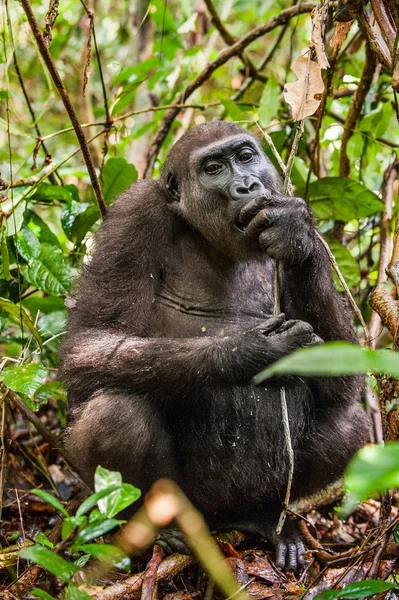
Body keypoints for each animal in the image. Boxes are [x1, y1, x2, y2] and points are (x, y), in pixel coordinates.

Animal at [61, 120, 370, 572]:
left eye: (244, 156)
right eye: (212, 168)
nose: (246, 185)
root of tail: (223, 521)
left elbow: (342, 376)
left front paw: (295, 233)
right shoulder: (134, 216)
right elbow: (88, 344)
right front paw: (250, 353)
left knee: (351, 421)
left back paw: (268, 520)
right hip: (193, 505)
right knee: (114, 414)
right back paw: (160, 528)